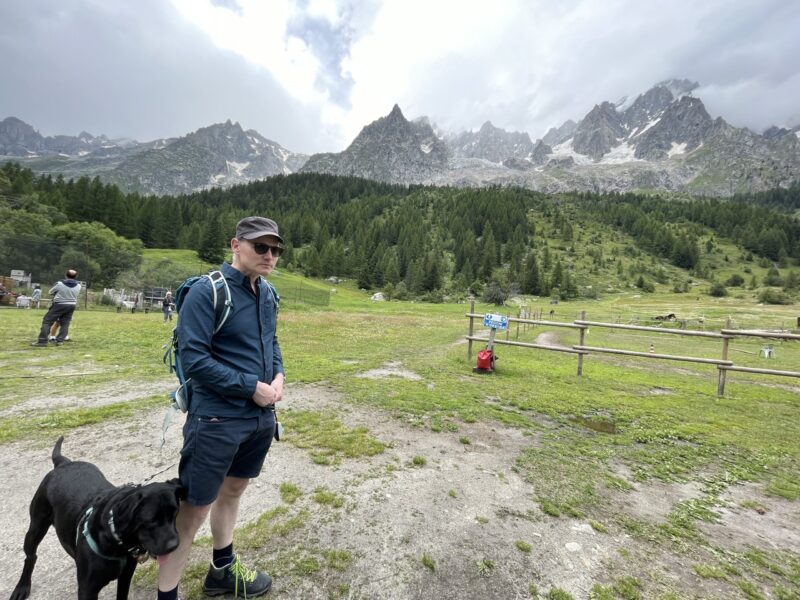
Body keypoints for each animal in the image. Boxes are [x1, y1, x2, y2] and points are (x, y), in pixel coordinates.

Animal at [8, 436, 184, 600]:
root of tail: (63, 463)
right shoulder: (88, 589)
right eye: (151, 520)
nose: (174, 545)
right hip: (36, 527)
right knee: (31, 557)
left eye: (175, 514)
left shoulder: (126, 576)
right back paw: (22, 587)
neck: (114, 538)